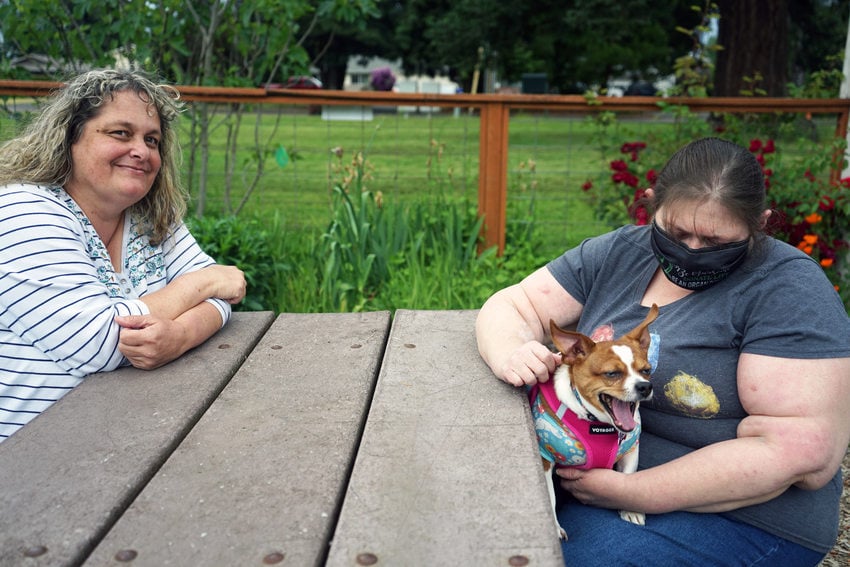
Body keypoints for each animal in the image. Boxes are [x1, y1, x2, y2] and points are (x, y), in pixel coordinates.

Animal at [528, 306, 660, 540]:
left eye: (646, 370)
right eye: (612, 374)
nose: (645, 386)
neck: (599, 424)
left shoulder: (630, 451)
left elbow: (628, 478)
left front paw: (630, 509)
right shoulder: (544, 458)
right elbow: (549, 497)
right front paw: (554, 527)